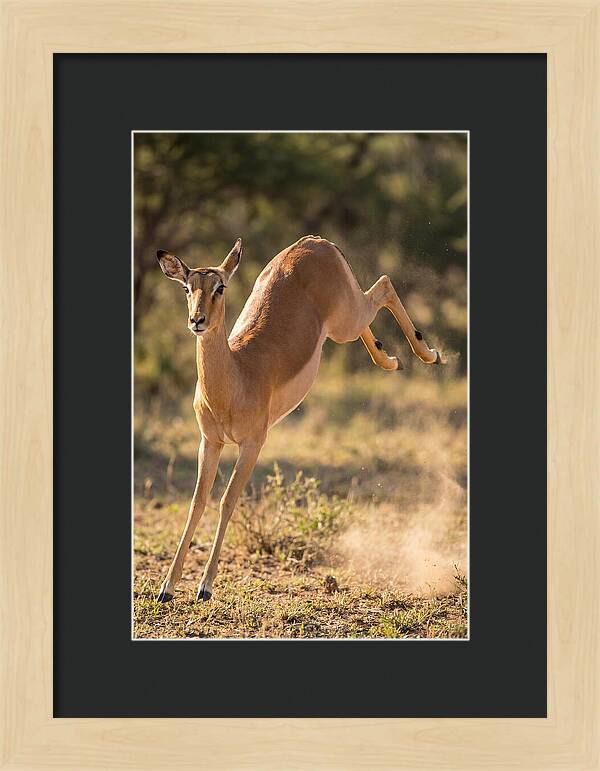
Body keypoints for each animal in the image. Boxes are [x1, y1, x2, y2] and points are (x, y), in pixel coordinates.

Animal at [156, 235, 442, 602]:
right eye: (187, 288)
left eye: (220, 286)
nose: (197, 321)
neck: (236, 376)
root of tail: (315, 241)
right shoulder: (210, 441)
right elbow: (196, 503)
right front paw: (167, 587)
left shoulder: (252, 444)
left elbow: (227, 500)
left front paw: (205, 586)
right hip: (343, 323)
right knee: (374, 306)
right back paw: (391, 359)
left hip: (346, 319)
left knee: (384, 285)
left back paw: (429, 354)